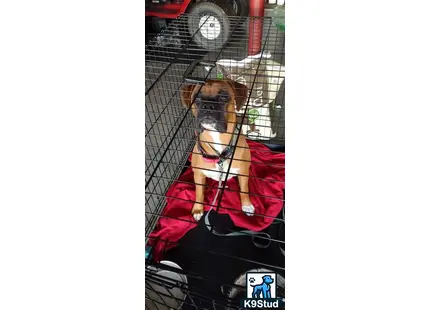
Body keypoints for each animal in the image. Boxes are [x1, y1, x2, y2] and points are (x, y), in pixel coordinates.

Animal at [180, 79, 254, 220]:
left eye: (223, 97)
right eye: (197, 98)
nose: (208, 106)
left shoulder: (243, 172)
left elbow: (244, 189)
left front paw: (247, 205)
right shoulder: (198, 175)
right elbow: (199, 192)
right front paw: (198, 209)